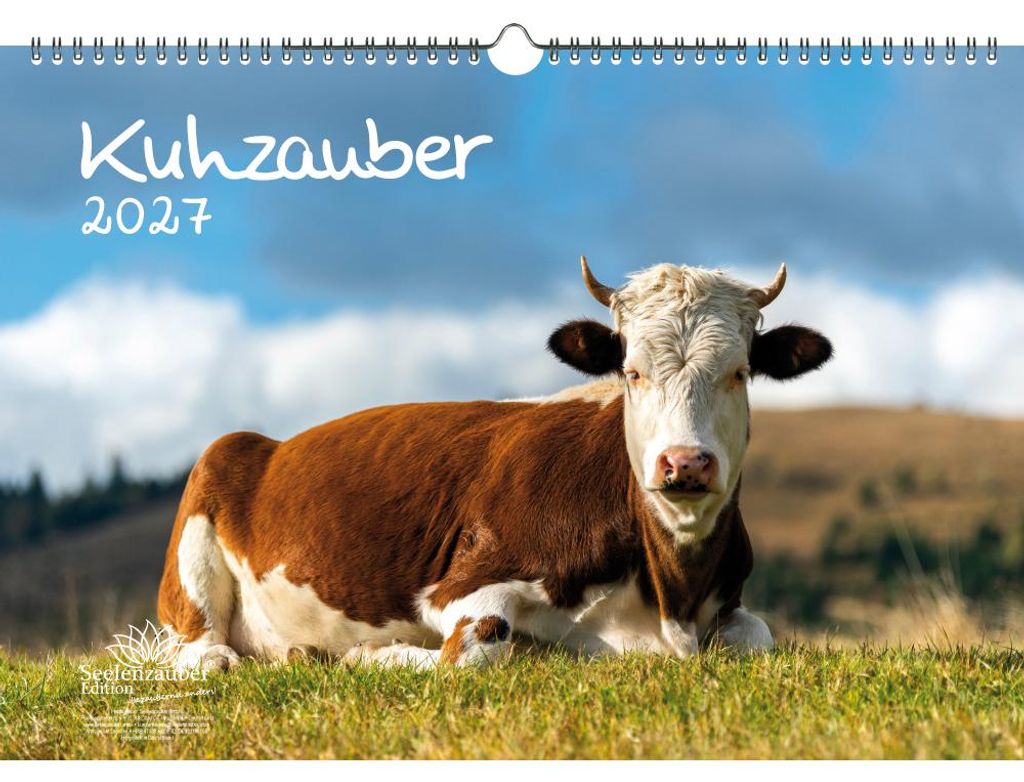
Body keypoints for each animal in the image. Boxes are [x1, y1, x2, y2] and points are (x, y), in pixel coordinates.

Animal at [157, 258, 832, 671]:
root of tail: (267, 443)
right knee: (200, 649)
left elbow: (760, 638)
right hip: (202, 520)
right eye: (632, 371)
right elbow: (472, 653)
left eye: (739, 372)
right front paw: (376, 655)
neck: (671, 599)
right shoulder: (463, 583)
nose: (685, 464)